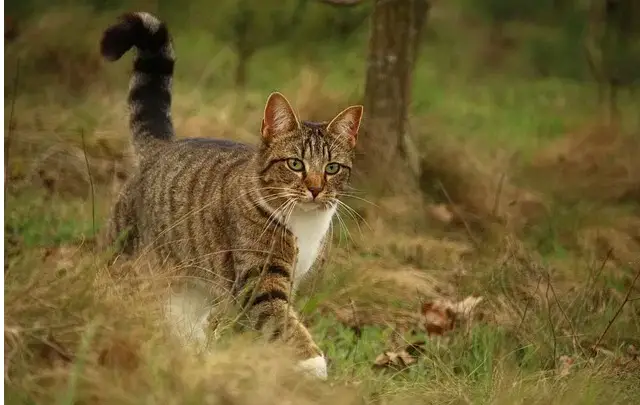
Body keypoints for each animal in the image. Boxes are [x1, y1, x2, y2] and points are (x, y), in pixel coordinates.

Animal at [99, 12, 360, 378]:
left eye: (333, 168)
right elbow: (284, 322)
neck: (304, 224)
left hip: (191, 286)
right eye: (295, 164)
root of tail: (160, 147)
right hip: (125, 254)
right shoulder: (260, 282)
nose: (315, 188)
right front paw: (314, 365)